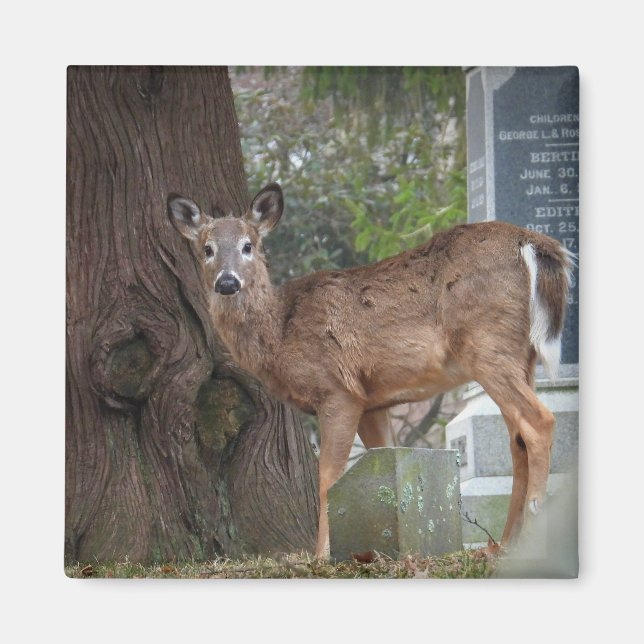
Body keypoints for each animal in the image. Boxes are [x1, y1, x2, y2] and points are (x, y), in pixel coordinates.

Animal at [168, 183, 574, 559]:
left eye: (248, 245)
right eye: (207, 249)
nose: (227, 282)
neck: (280, 331)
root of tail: (535, 244)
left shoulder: (337, 389)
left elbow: (328, 477)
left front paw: (322, 554)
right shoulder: (372, 402)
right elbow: (380, 458)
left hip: (485, 343)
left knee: (539, 420)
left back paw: (533, 529)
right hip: (520, 354)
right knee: (517, 438)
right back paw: (505, 544)